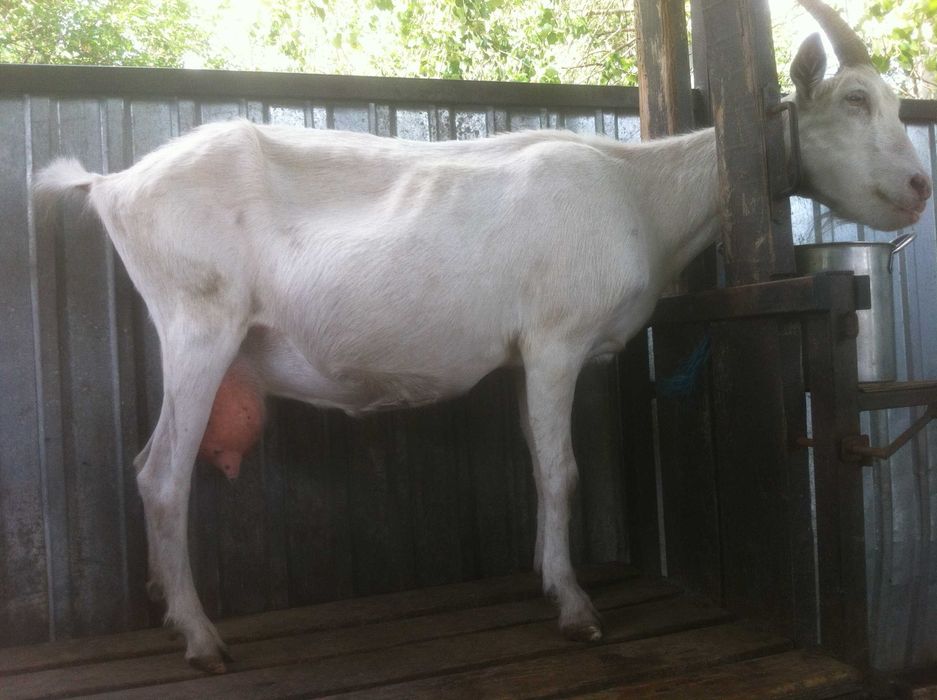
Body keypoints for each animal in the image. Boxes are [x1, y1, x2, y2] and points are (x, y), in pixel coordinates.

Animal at [33, 0, 931, 673]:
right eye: (852, 101)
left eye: (894, 103)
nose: (918, 186)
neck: (638, 191)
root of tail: (113, 183)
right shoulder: (556, 339)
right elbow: (561, 472)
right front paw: (576, 609)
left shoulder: (526, 357)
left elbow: (536, 461)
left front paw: (547, 579)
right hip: (198, 319)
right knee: (160, 474)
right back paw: (200, 637)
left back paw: (166, 605)